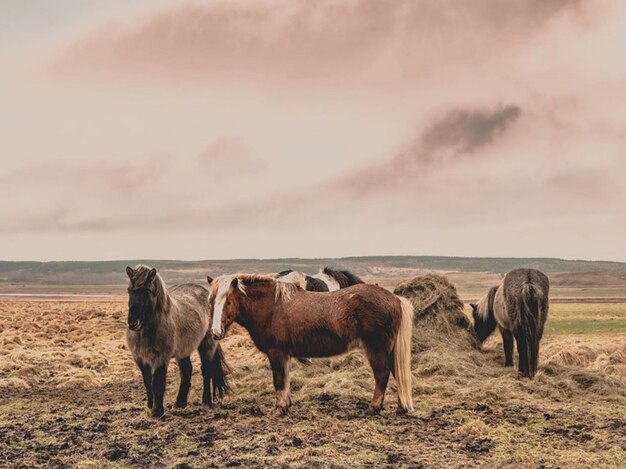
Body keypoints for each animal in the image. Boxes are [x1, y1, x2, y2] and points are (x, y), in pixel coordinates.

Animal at [124, 264, 229, 416]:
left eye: (147, 291)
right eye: (129, 290)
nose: (133, 322)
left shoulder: (161, 357)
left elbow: (158, 382)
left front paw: (157, 411)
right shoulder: (140, 359)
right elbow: (147, 382)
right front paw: (150, 406)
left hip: (207, 345)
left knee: (206, 371)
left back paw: (206, 403)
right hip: (183, 350)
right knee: (186, 371)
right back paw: (180, 403)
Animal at [205, 272, 414, 414]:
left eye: (229, 302)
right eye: (211, 301)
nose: (216, 332)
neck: (272, 307)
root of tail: (394, 298)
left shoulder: (277, 352)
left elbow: (279, 380)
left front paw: (279, 409)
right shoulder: (285, 355)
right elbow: (285, 380)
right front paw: (286, 405)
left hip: (377, 350)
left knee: (382, 375)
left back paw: (374, 408)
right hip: (388, 350)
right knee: (396, 372)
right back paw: (401, 407)